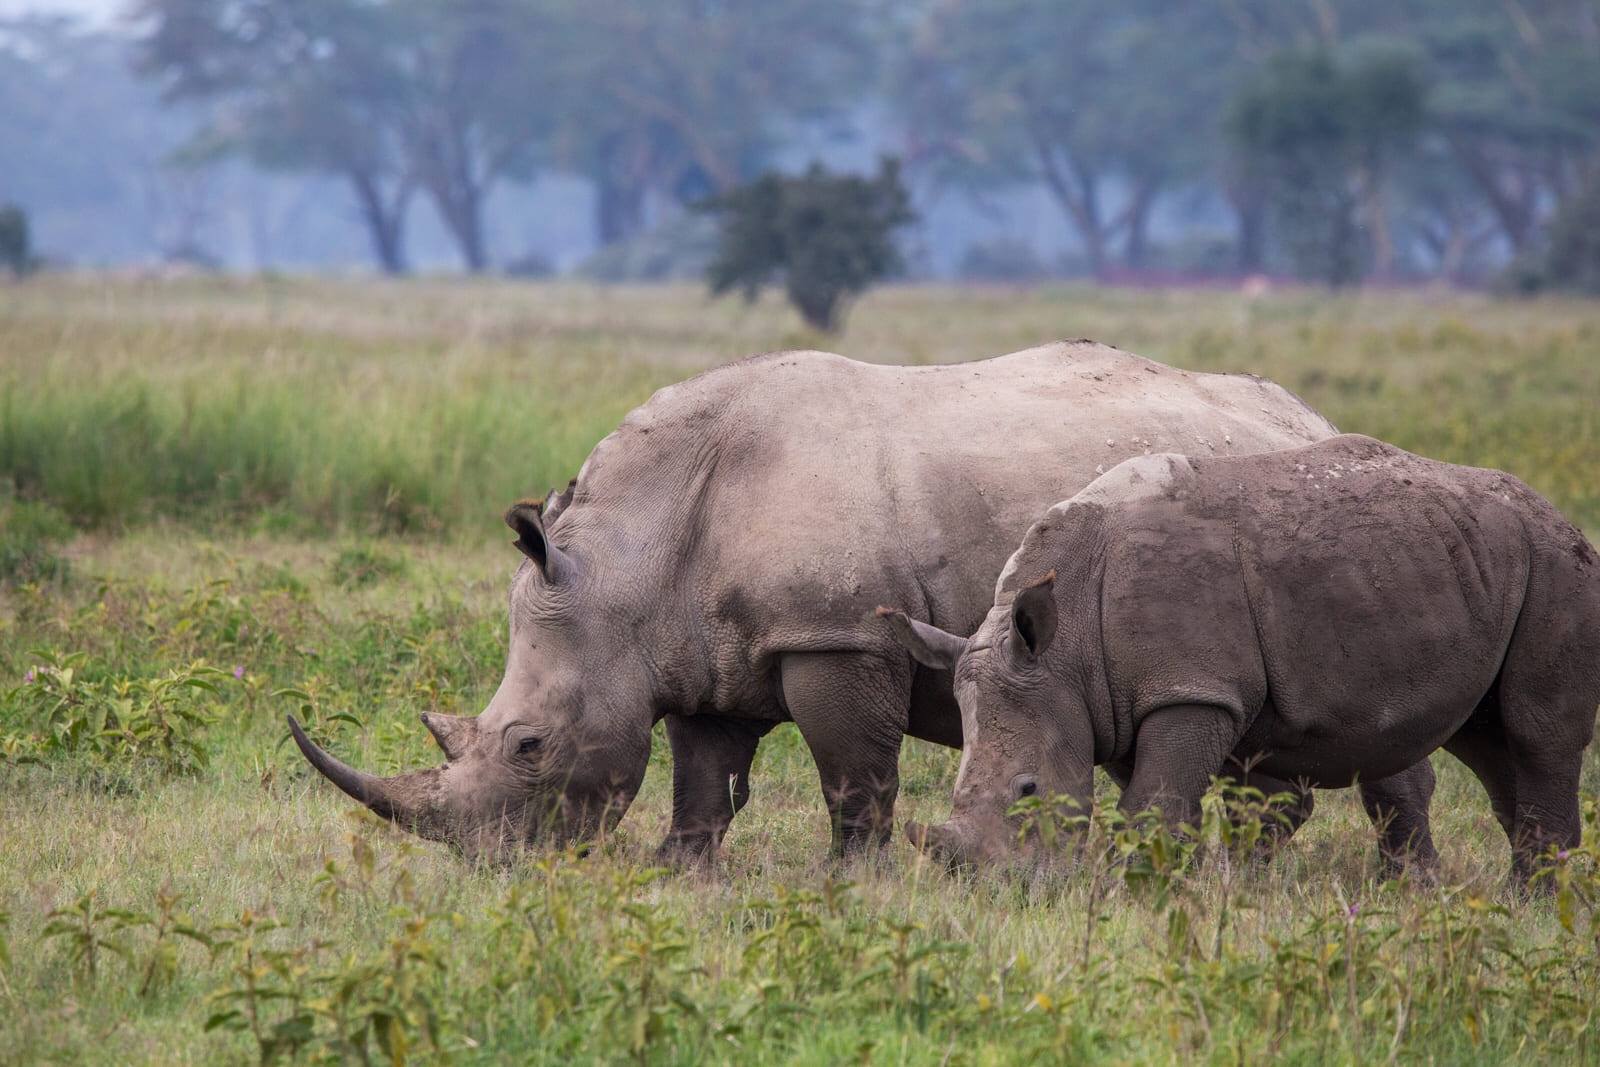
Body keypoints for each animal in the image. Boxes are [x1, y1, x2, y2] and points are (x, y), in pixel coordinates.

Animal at [288, 342, 1433, 864]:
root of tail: (1305, 412)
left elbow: (851, 775)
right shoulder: (698, 652)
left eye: (527, 746)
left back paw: (1387, 886)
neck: (628, 562)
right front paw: (678, 871)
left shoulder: (835, 634)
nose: (494, 867)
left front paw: (853, 881)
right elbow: (701, 779)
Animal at [882, 434, 1600, 884]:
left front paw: (1131, 896)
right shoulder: (1116, 700)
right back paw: (1519, 901)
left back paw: (1536, 909)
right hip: (1476, 558)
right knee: (1487, 742)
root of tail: (1558, 515)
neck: (1067, 646)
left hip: (1557, 565)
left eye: (1028, 790)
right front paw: (1181, 890)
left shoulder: (1192, 688)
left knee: (1535, 736)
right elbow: (1169, 805)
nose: (998, 889)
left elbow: (1152, 807)